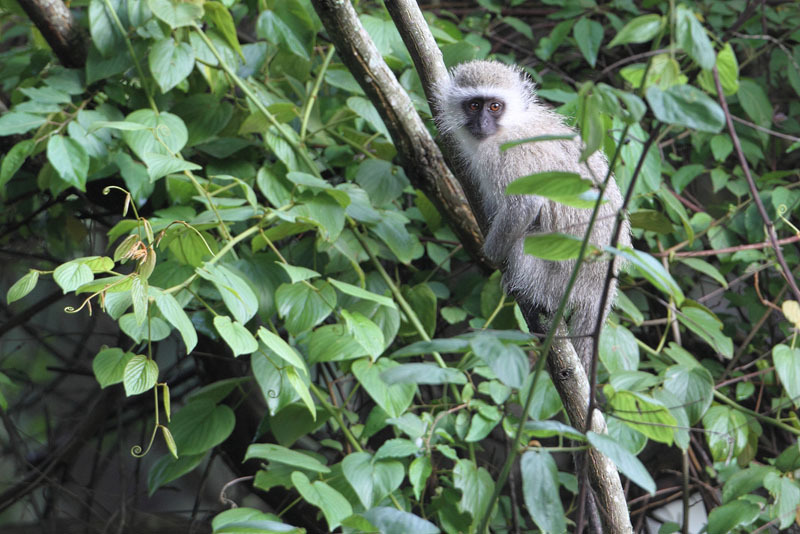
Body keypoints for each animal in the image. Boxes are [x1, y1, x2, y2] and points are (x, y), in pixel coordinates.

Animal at [434, 59, 636, 372]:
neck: (510, 125)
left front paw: (490, 254)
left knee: (523, 243)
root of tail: (598, 286)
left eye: (494, 106)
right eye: (474, 105)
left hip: (557, 282)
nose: (482, 123)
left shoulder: (506, 156)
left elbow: (525, 204)